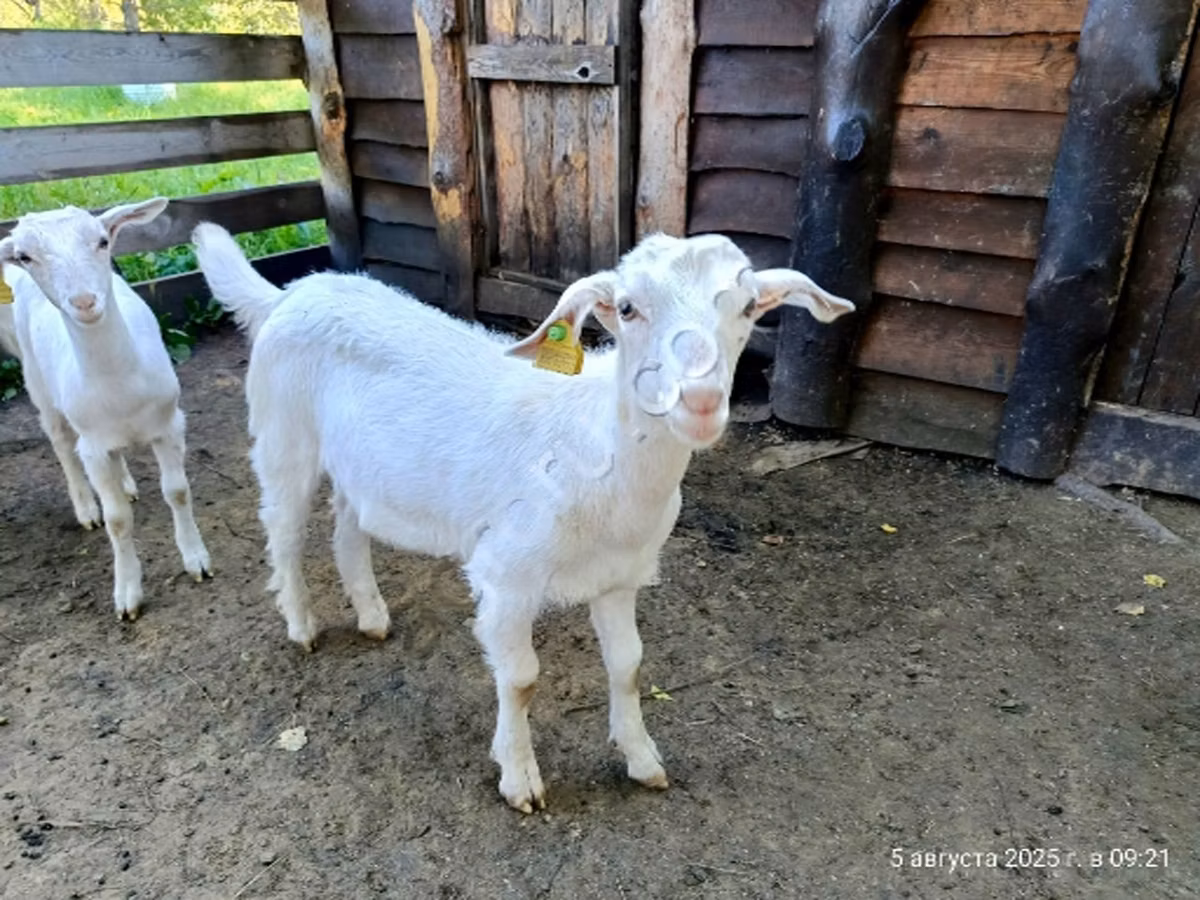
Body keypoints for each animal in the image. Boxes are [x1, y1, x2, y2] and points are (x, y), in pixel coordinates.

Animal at [0, 199, 211, 620]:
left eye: (102, 241)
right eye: (26, 256)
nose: (84, 303)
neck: (120, 382)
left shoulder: (169, 425)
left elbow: (178, 492)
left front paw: (196, 559)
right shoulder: (93, 448)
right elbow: (117, 521)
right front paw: (127, 593)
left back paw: (126, 483)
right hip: (38, 383)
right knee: (62, 445)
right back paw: (85, 507)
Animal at [193, 222, 853, 812]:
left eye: (750, 307)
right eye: (628, 308)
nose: (700, 402)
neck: (597, 452)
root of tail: (293, 291)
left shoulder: (621, 578)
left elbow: (629, 666)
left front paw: (643, 760)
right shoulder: (506, 574)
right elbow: (521, 678)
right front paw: (519, 779)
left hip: (362, 465)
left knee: (346, 525)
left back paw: (373, 616)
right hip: (283, 435)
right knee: (282, 528)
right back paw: (301, 624)